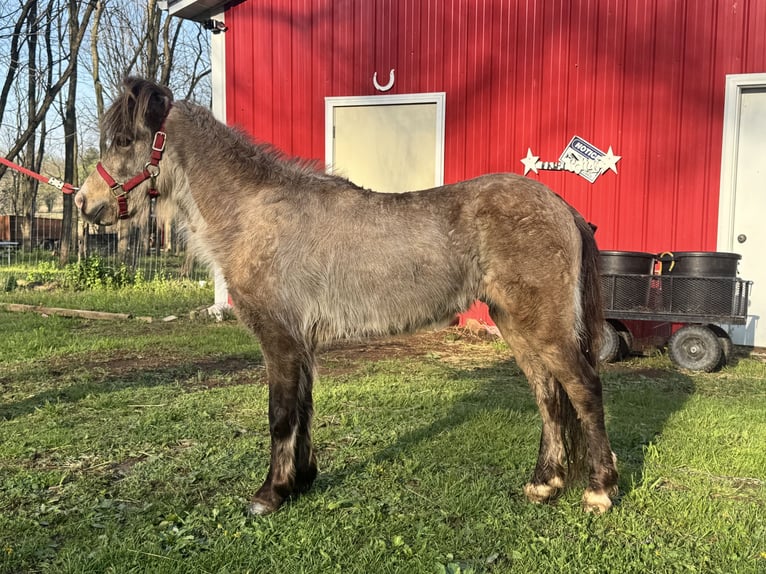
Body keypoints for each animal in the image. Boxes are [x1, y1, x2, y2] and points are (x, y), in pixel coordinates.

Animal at [75, 77, 618, 515]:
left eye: (124, 139)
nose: (83, 201)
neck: (255, 212)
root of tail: (561, 205)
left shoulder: (279, 340)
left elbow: (280, 416)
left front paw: (269, 495)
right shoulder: (301, 346)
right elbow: (303, 411)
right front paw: (300, 481)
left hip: (544, 328)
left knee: (583, 390)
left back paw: (599, 490)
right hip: (516, 324)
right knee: (548, 396)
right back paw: (545, 484)